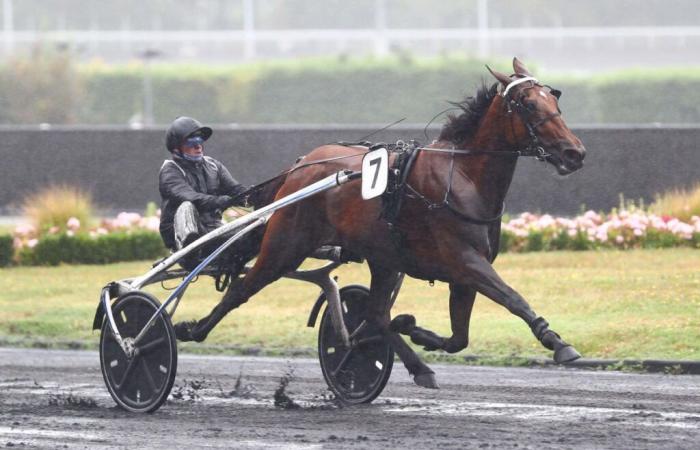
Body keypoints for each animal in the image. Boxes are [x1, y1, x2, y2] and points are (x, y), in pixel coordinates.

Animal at [174, 58, 584, 388]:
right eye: (528, 103)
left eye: (555, 99)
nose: (574, 152)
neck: (462, 177)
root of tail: (301, 165)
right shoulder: (465, 261)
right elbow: (513, 298)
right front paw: (559, 344)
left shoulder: (463, 272)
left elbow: (458, 338)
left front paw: (413, 329)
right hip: (285, 246)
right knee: (241, 289)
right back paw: (189, 328)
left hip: (383, 257)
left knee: (375, 314)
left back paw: (415, 365)